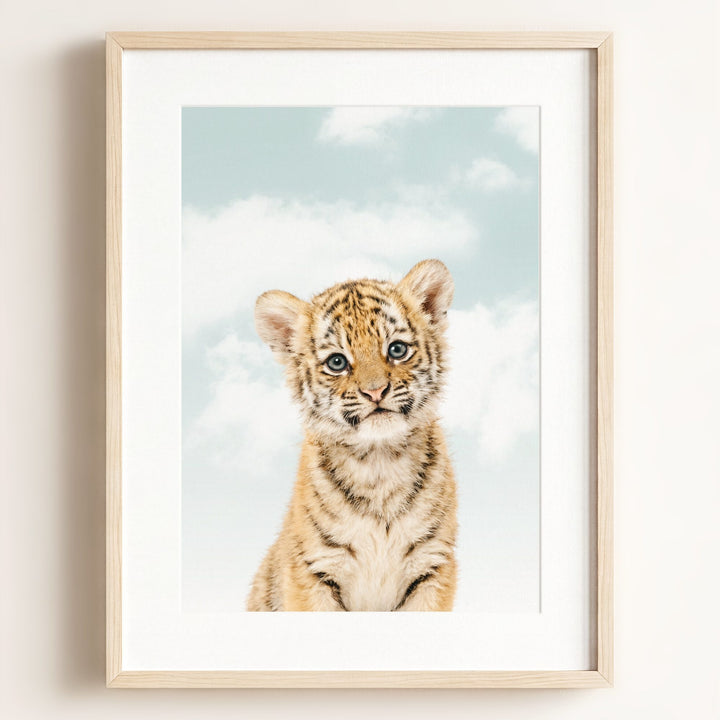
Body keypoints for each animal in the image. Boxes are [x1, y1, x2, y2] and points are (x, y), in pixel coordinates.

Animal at [247, 259, 457, 611]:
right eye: (337, 362)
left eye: (397, 349)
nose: (375, 392)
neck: (379, 461)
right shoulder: (313, 569)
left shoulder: (433, 565)